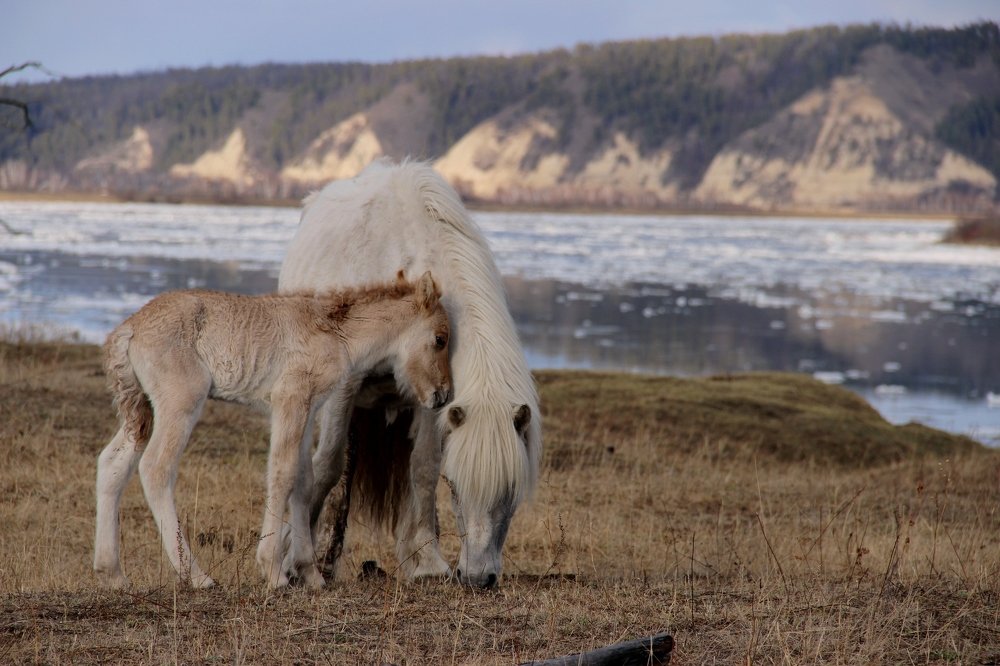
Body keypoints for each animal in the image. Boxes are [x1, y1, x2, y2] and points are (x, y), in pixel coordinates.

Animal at [93, 271, 452, 590]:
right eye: (440, 339)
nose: (442, 395)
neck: (337, 333)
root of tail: (128, 329)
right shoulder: (289, 400)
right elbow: (282, 473)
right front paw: (274, 572)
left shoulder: (309, 409)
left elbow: (304, 481)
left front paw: (309, 574)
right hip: (180, 401)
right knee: (156, 468)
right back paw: (197, 577)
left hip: (141, 410)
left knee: (112, 463)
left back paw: (113, 574)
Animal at [278, 159, 541, 589]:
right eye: (456, 487)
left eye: (511, 492)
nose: (477, 578)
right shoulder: (344, 387)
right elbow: (327, 465)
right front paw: (295, 563)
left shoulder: (435, 397)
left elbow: (423, 469)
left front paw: (427, 563)